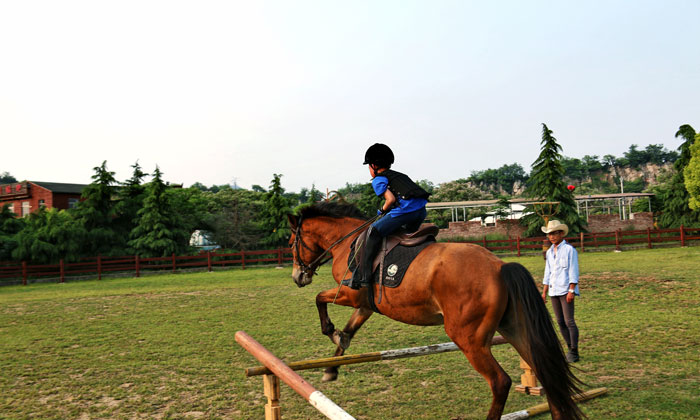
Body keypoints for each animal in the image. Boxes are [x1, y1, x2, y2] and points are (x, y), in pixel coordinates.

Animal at [288, 202, 584, 418]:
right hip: (512, 329)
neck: (345, 242)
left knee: (500, 382)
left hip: (468, 338)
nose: (297, 277)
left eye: (291, 243)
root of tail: (500, 266)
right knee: (544, 370)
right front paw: (332, 367)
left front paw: (330, 331)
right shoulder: (365, 304)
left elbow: (319, 299)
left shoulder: (350, 294)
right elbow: (349, 331)